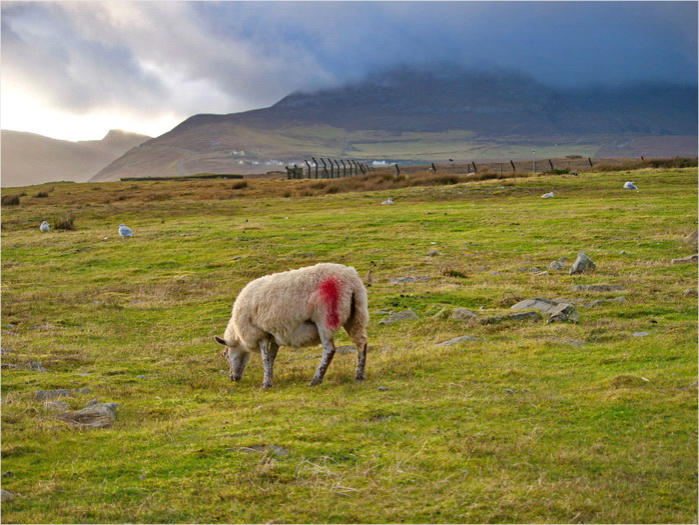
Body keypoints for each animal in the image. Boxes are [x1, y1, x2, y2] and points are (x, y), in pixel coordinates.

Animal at [214, 263, 369, 388]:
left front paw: (265, 383)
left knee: (329, 350)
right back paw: (359, 375)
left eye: (226, 355)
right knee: (361, 342)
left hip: (325, 318)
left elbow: (265, 358)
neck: (239, 335)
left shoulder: (260, 333)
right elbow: (271, 357)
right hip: (356, 314)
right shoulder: (274, 336)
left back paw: (316, 380)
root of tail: (351, 280)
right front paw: (270, 379)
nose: (233, 378)